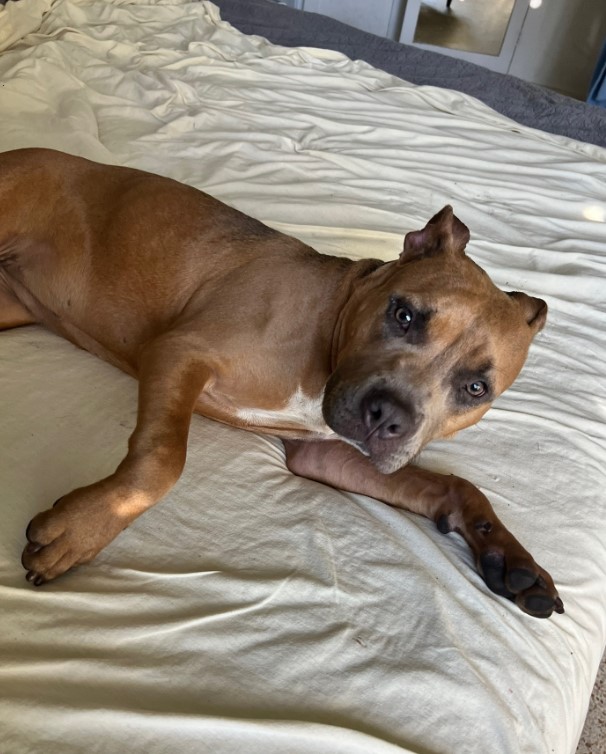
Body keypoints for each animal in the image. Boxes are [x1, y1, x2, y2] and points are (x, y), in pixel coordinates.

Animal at [1, 148, 564, 616]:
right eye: (403, 315)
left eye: (476, 388)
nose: (388, 418)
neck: (329, 328)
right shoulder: (179, 351)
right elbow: (162, 461)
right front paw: (81, 531)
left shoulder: (325, 453)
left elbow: (451, 483)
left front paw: (508, 554)